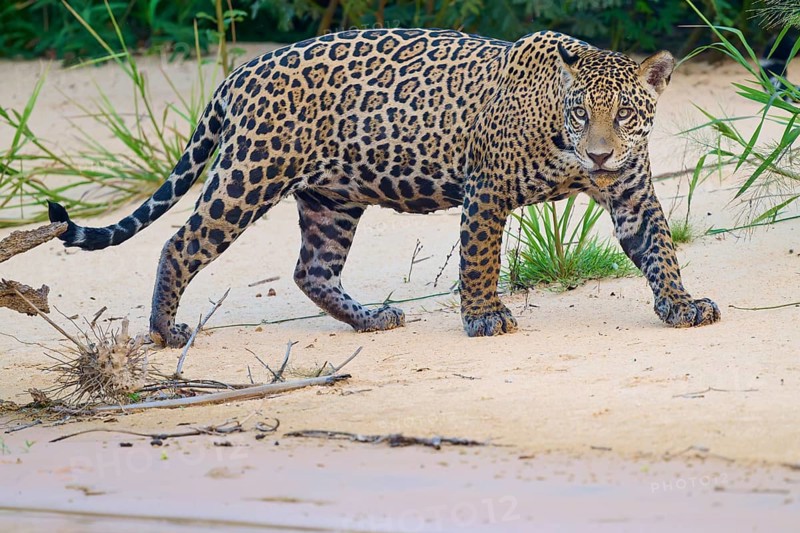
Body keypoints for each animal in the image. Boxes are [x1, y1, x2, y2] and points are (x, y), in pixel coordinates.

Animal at [48, 28, 721, 348]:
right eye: (580, 113)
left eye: (626, 114)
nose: (599, 153)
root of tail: (239, 71)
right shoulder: (487, 192)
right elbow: (480, 259)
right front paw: (484, 317)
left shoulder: (632, 194)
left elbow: (659, 250)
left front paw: (682, 304)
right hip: (248, 175)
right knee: (181, 242)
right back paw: (166, 332)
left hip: (332, 199)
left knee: (311, 270)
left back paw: (370, 320)